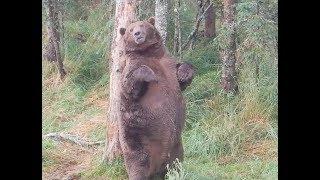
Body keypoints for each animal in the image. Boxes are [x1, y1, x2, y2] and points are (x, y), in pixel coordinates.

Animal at [118, 17, 195, 180]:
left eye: (142, 25)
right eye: (130, 29)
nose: (137, 33)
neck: (149, 53)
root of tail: (156, 169)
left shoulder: (168, 63)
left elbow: (182, 73)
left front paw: (184, 74)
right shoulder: (131, 68)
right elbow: (129, 86)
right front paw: (151, 75)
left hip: (177, 147)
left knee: (177, 164)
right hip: (138, 145)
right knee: (138, 168)